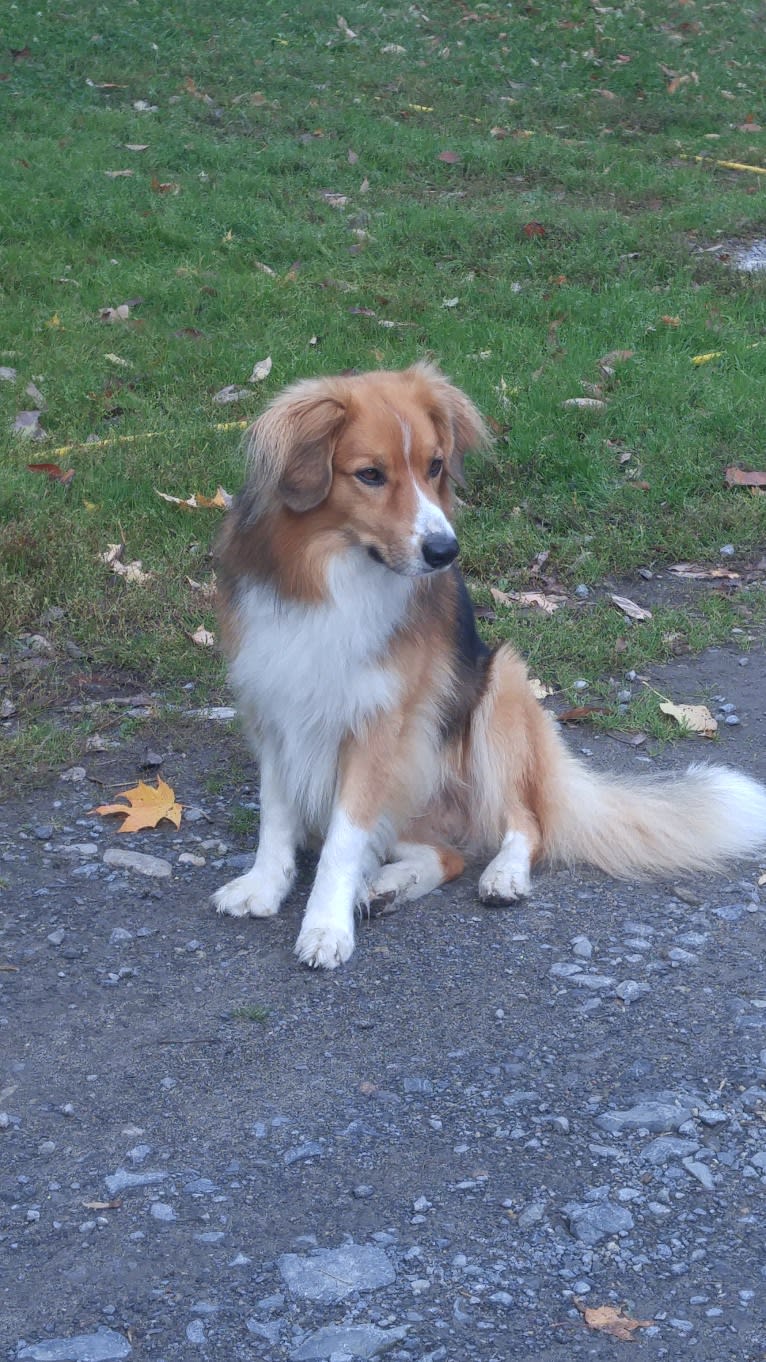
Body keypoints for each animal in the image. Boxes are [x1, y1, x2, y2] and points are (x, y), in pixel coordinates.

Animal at [209, 365, 763, 969]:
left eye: (434, 465)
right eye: (370, 475)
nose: (444, 552)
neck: (334, 570)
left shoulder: (379, 726)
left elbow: (343, 839)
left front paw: (326, 925)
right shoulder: (273, 706)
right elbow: (276, 813)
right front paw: (265, 884)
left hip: (502, 693)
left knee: (523, 825)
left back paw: (498, 876)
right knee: (444, 855)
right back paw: (383, 886)